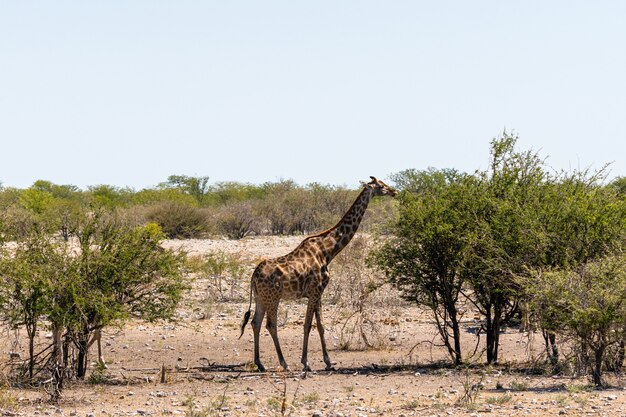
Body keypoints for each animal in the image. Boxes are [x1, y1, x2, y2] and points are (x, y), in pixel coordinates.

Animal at [239, 176, 394, 370]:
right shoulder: (315, 291)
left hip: (260, 297)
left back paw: (260, 364)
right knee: (271, 325)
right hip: (273, 297)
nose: (393, 191)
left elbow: (320, 325)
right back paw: (284, 363)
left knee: (255, 323)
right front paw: (306, 362)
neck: (328, 251)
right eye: (381, 186)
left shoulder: (318, 293)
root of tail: (253, 276)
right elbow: (307, 325)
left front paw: (328, 362)